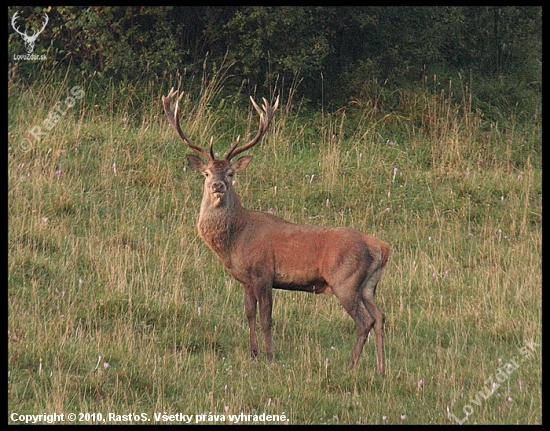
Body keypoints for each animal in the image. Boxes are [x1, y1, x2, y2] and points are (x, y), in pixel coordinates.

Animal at [164, 88, 392, 374]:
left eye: (230, 173)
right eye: (206, 173)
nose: (218, 185)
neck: (235, 240)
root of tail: (381, 247)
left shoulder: (263, 272)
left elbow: (266, 318)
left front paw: (270, 356)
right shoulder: (246, 279)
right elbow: (249, 313)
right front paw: (253, 353)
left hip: (345, 280)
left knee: (364, 321)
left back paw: (351, 365)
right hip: (369, 285)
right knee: (380, 316)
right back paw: (380, 369)